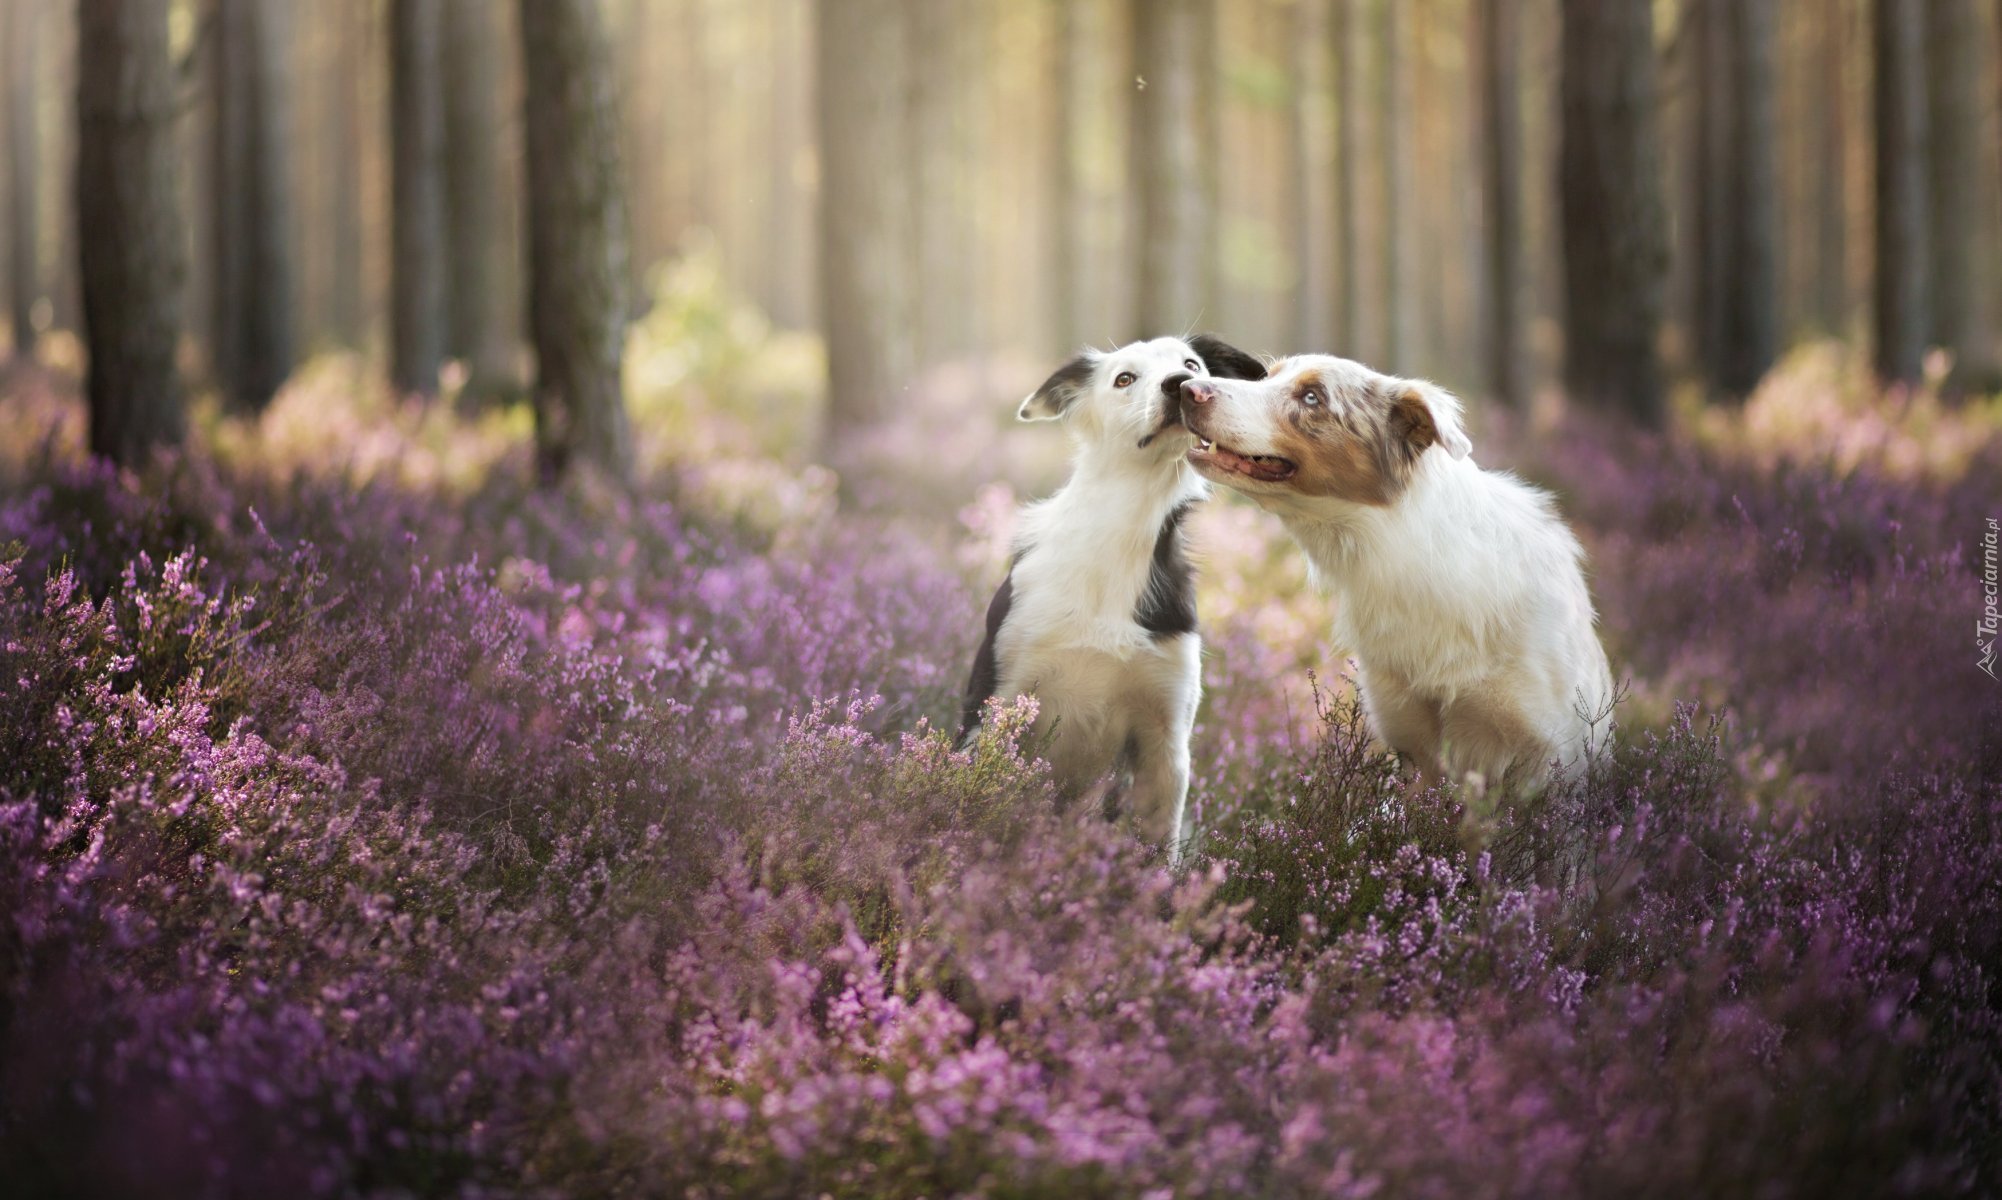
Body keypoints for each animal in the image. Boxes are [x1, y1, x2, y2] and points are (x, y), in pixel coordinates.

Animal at [960, 332, 1257, 849]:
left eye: (1191, 364)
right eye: (1124, 378)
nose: (1182, 386)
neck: (1122, 531)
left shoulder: (1165, 737)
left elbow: (1157, 846)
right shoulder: (997, 702)